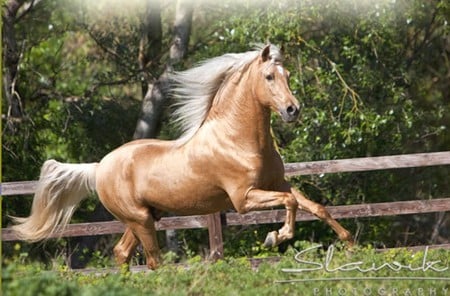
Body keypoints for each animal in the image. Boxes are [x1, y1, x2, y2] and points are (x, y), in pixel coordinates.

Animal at [12, 44, 354, 268]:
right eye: (269, 76)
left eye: (288, 74)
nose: (293, 110)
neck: (237, 140)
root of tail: (99, 167)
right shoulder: (243, 199)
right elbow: (291, 203)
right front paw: (275, 237)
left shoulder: (278, 183)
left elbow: (314, 206)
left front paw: (349, 241)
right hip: (140, 220)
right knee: (154, 261)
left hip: (144, 217)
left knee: (123, 254)